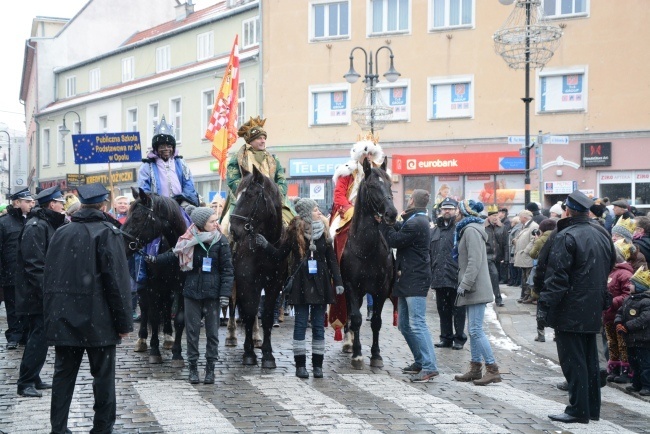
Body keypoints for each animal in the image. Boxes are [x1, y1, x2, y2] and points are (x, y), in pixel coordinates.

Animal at [121, 189, 187, 366]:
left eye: (137, 217)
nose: (121, 243)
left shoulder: (182, 287)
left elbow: (179, 319)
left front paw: (177, 353)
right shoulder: (153, 286)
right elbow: (154, 316)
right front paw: (154, 351)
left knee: (167, 305)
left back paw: (168, 337)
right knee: (145, 308)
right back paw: (142, 340)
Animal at [228, 164, 284, 368]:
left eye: (250, 195)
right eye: (237, 194)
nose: (233, 230)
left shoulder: (274, 284)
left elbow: (266, 315)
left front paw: (267, 354)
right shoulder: (247, 281)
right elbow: (250, 313)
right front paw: (249, 353)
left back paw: (256, 338)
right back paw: (233, 336)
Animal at [340, 158, 394, 368]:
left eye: (390, 184)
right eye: (372, 186)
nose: (392, 213)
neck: (366, 248)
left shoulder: (382, 288)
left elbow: (376, 320)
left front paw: (376, 355)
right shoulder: (351, 285)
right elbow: (356, 318)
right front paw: (357, 353)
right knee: (349, 313)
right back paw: (348, 342)